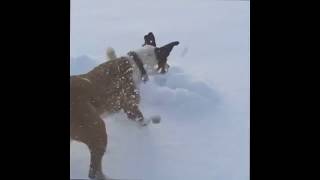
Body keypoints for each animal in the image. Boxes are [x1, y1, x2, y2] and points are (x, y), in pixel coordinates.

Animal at [70, 33, 179, 179]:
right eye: (165, 59)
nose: (169, 67)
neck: (138, 62)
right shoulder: (130, 105)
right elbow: (142, 119)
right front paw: (151, 121)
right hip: (97, 128)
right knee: (94, 172)